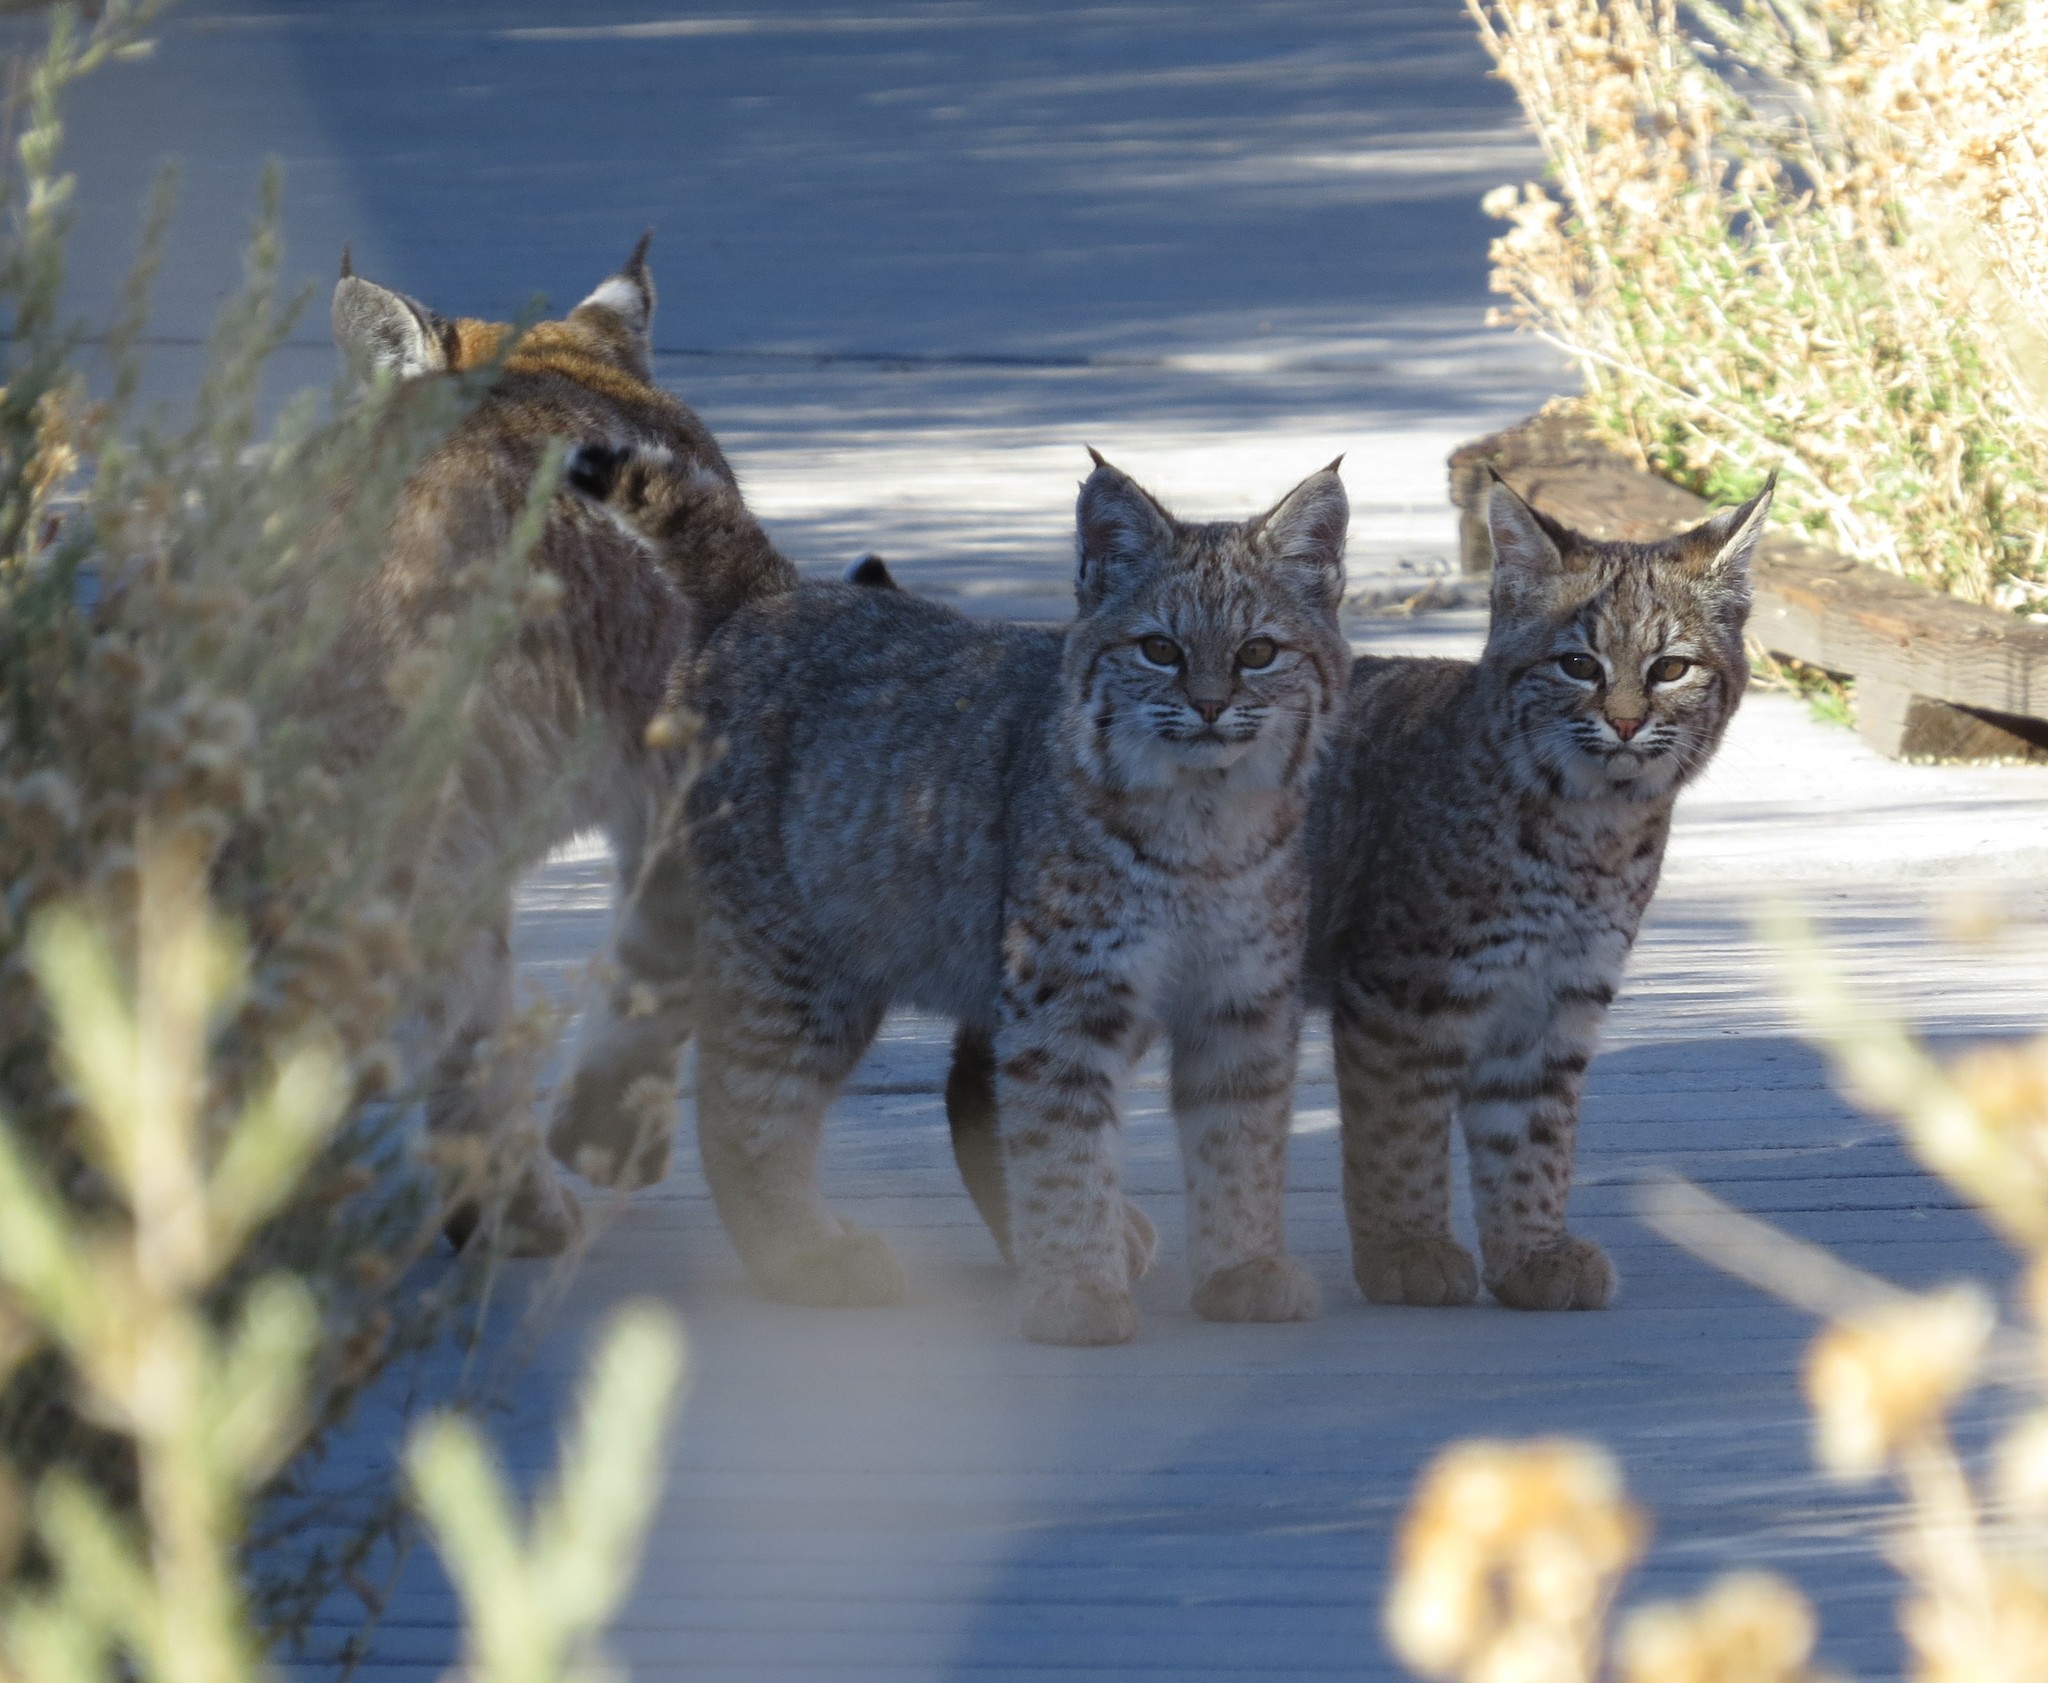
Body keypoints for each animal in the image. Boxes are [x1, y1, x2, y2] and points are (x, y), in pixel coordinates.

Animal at [561, 442, 1359, 1351]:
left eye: (1259, 653)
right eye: (1159, 648)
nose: (1212, 707)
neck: (1207, 818)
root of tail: (778, 591)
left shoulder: (1242, 997)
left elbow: (1242, 1140)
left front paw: (1241, 1269)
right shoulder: (1069, 994)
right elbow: (1062, 1144)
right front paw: (1077, 1291)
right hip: (797, 954)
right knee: (742, 1099)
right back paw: (804, 1258)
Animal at [950, 475, 1769, 1318]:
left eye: (1670, 669)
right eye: (1577, 664)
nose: (1627, 724)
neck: (1591, 821)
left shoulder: (1559, 994)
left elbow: (1533, 1135)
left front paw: (1534, 1253)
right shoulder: (1401, 988)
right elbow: (1398, 1132)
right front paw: (1408, 1250)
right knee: (1005, 1074)